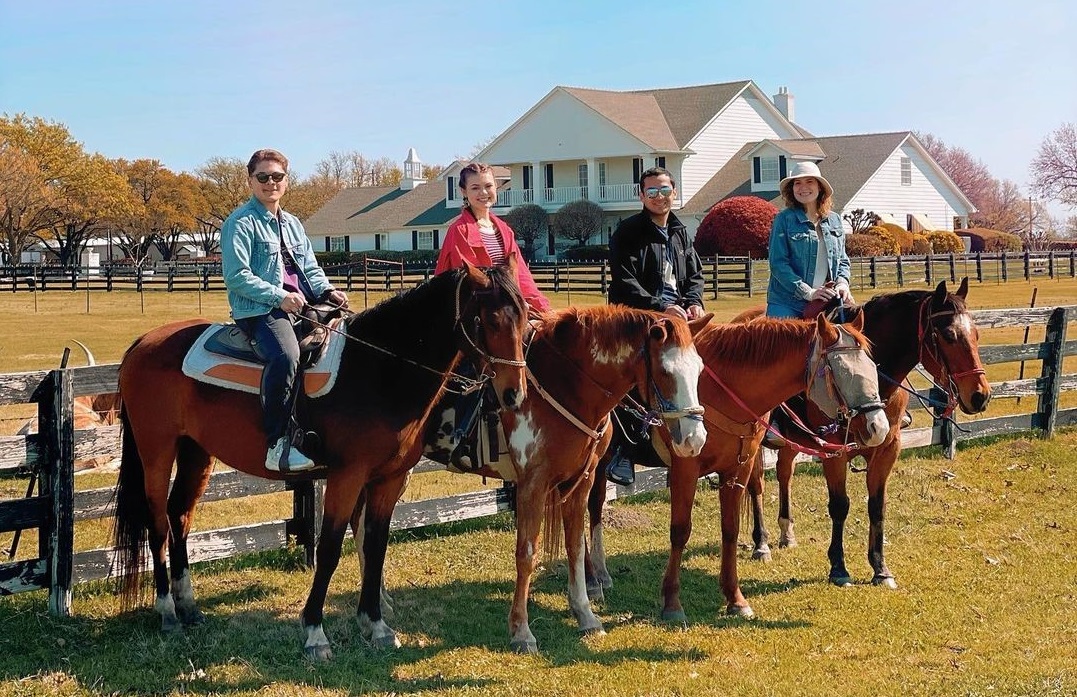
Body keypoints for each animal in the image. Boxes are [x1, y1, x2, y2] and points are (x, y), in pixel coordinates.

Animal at [110, 261, 529, 659]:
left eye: (525, 316)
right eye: (489, 320)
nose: (514, 394)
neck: (378, 371)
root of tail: (143, 343)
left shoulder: (388, 479)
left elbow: (376, 547)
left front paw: (376, 625)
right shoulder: (347, 477)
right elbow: (329, 549)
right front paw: (315, 633)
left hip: (196, 451)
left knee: (180, 516)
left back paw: (189, 608)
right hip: (157, 450)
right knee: (158, 524)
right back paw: (167, 612)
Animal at [357, 305, 715, 654]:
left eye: (699, 370)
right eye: (665, 371)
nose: (694, 439)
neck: (565, 384)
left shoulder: (582, 480)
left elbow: (575, 547)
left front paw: (586, 615)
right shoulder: (533, 484)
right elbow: (527, 554)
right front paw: (521, 631)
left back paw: (380, 604)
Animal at [590, 314, 891, 620]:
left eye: (872, 366)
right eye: (841, 371)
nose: (879, 428)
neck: (722, 393)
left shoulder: (737, 470)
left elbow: (730, 529)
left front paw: (735, 598)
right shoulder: (685, 468)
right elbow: (680, 530)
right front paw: (672, 603)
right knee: (592, 508)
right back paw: (593, 580)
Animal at [745, 277, 986, 590]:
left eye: (976, 333)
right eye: (948, 335)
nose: (980, 395)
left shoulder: (887, 449)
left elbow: (877, 507)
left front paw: (880, 568)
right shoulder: (834, 451)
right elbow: (840, 506)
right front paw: (838, 567)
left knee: (785, 472)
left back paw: (787, 532)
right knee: (757, 484)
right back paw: (761, 544)